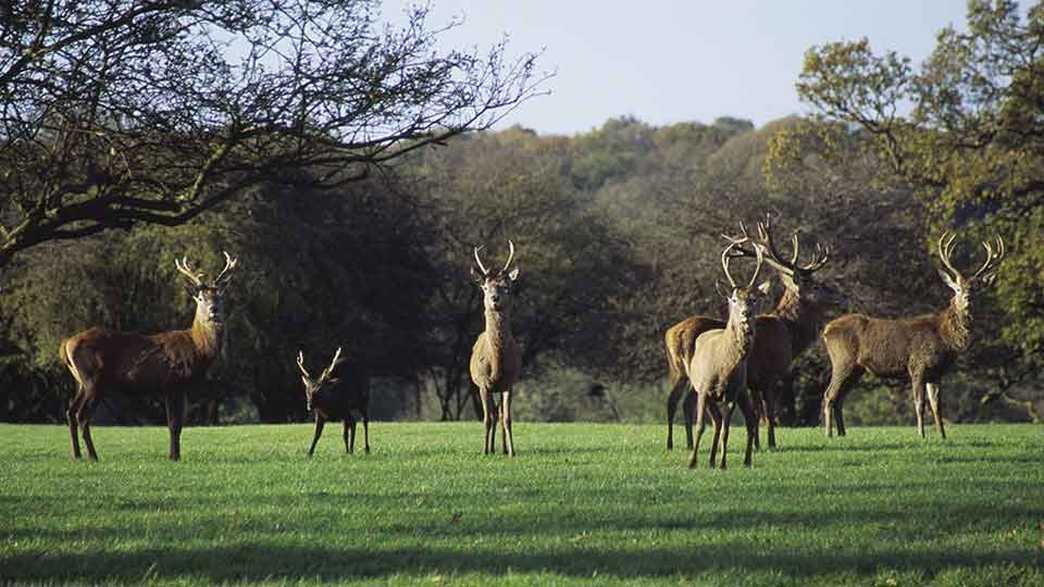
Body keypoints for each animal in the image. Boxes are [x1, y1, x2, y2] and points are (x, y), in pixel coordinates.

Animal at [59, 248, 239, 459]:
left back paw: (76, 454)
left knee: (70, 411)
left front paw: (175, 455)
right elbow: (173, 424)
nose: (213, 310)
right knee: (82, 416)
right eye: (201, 299)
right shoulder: (172, 382)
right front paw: (174, 456)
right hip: (93, 378)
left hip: (79, 380)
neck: (197, 349)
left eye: (220, 297)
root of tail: (66, 344)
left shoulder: (181, 387)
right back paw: (93, 456)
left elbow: (179, 425)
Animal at [684, 235, 768, 467]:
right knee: (718, 421)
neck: (723, 366)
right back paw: (711, 460)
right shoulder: (704, 387)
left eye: (754, 299)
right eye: (734, 299)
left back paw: (743, 461)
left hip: (743, 390)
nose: (746, 313)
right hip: (706, 391)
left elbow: (727, 431)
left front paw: (723, 463)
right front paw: (692, 462)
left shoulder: (732, 391)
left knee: (747, 419)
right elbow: (700, 426)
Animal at [818, 230, 1006, 436]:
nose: (967, 298)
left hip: (857, 369)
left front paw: (942, 436)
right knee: (829, 395)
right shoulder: (918, 365)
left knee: (839, 398)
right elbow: (920, 404)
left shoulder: (936, 372)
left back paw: (842, 434)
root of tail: (826, 330)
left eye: (975, 288)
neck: (944, 339)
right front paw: (921, 435)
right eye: (957, 288)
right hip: (842, 361)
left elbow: (937, 406)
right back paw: (828, 434)